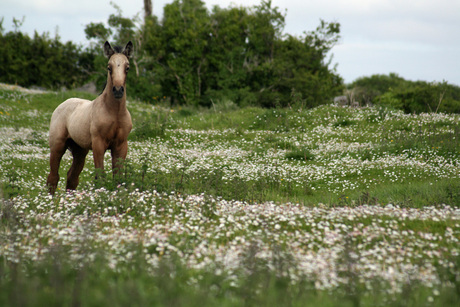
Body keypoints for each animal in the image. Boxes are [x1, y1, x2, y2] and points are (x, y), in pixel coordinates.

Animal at [46, 41, 133, 196]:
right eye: (109, 67)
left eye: (127, 67)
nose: (118, 90)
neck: (114, 113)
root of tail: (62, 104)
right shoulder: (98, 144)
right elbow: (100, 176)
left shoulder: (121, 145)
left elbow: (118, 178)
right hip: (57, 146)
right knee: (53, 177)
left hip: (80, 150)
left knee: (72, 177)